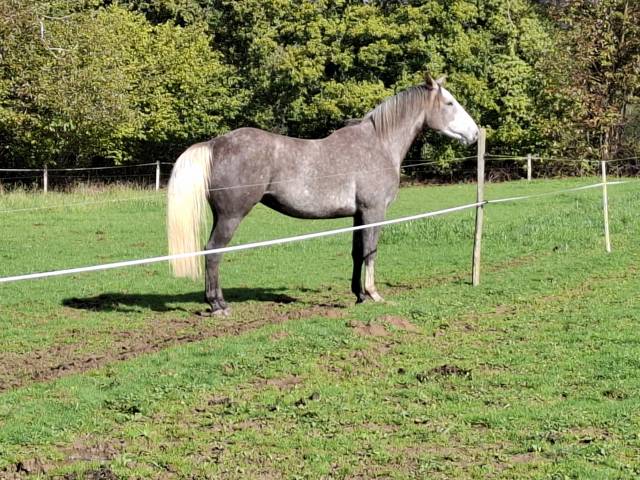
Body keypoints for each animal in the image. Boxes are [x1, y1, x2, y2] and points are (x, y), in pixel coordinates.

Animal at [166, 74, 479, 315]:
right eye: (449, 103)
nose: (475, 133)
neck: (379, 144)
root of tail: (214, 144)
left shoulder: (358, 215)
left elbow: (357, 253)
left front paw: (359, 296)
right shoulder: (374, 211)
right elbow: (371, 251)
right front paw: (374, 294)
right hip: (231, 216)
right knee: (213, 251)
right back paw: (218, 305)